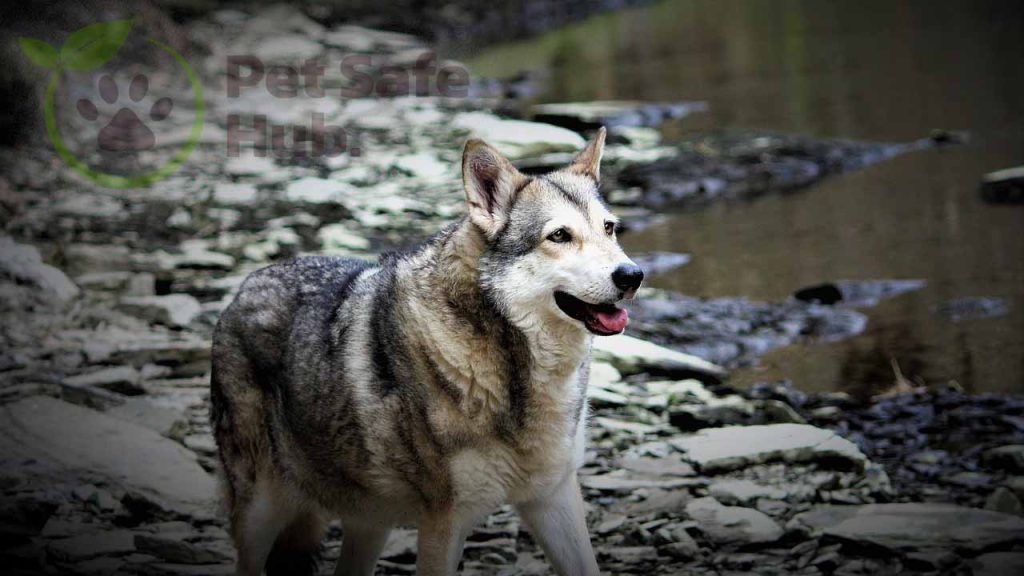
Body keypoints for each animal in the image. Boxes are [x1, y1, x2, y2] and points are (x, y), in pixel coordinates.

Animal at [211, 126, 643, 573]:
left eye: (609, 229)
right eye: (559, 235)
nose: (633, 275)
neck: (512, 369)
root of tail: (243, 287)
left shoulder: (553, 498)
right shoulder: (444, 521)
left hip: (369, 523)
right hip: (262, 510)